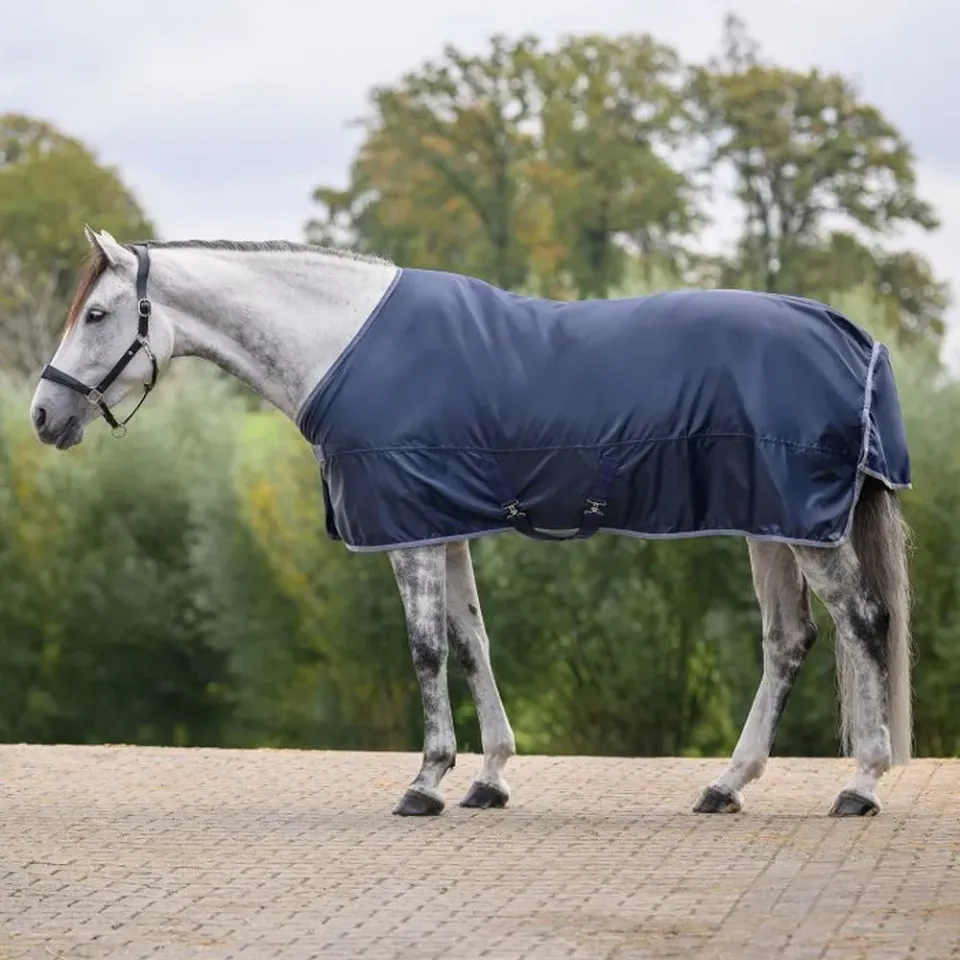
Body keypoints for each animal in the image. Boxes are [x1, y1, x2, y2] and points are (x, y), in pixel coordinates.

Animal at [30, 227, 913, 818]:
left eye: (98, 313)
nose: (43, 415)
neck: (341, 342)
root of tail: (856, 337)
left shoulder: (412, 531)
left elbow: (425, 649)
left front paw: (426, 781)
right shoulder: (441, 522)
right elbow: (471, 640)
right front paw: (488, 778)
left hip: (803, 526)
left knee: (863, 620)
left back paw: (860, 785)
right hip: (773, 523)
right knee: (789, 640)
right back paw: (726, 785)